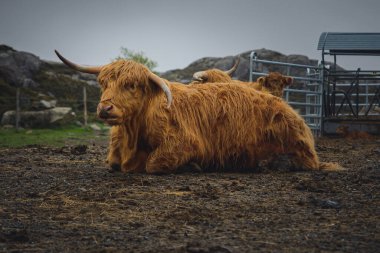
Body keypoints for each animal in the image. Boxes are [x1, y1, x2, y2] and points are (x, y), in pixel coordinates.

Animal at [55, 51, 340, 174]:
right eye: (103, 83)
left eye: (132, 85)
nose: (105, 108)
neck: (132, 135)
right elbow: (113, 163)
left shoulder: (184, 142)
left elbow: (153, 164)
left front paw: (192, 165)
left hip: (296, 141)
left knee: (306, 162)